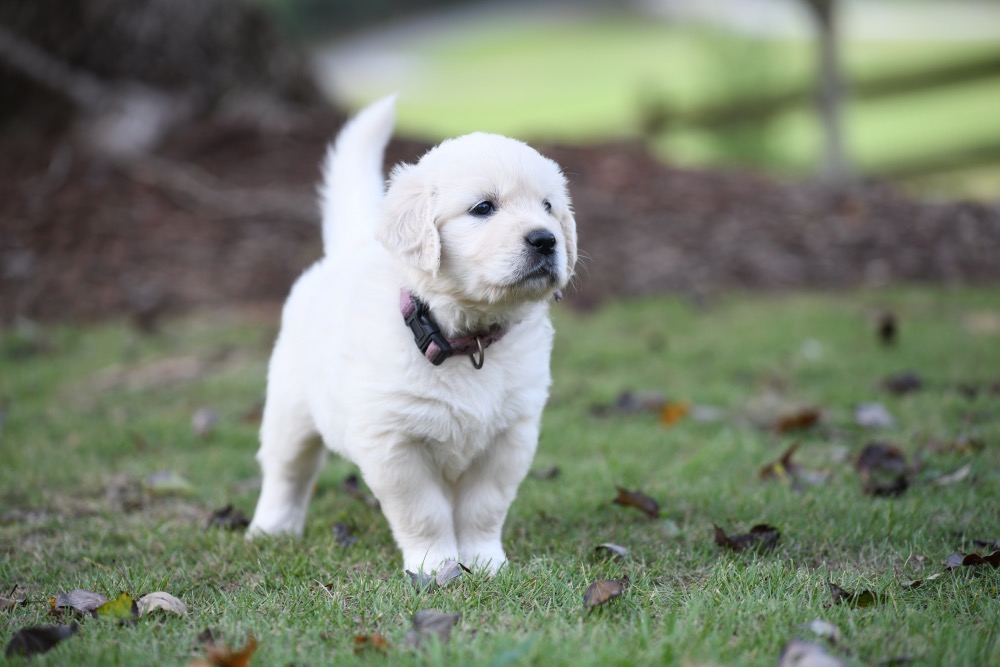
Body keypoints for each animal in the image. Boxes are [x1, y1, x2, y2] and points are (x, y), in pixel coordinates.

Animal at [248, 94, 580, 576]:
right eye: (483, 208)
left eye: (548, 206)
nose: (545, 239)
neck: (464, 336)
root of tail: (350, 246)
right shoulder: (395, 442)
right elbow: (423, 512)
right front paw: (435, 566)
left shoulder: (510, 436)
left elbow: (484, 506)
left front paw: (485, 561)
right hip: (290, 408)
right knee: (287, 471)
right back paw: (270, 528)